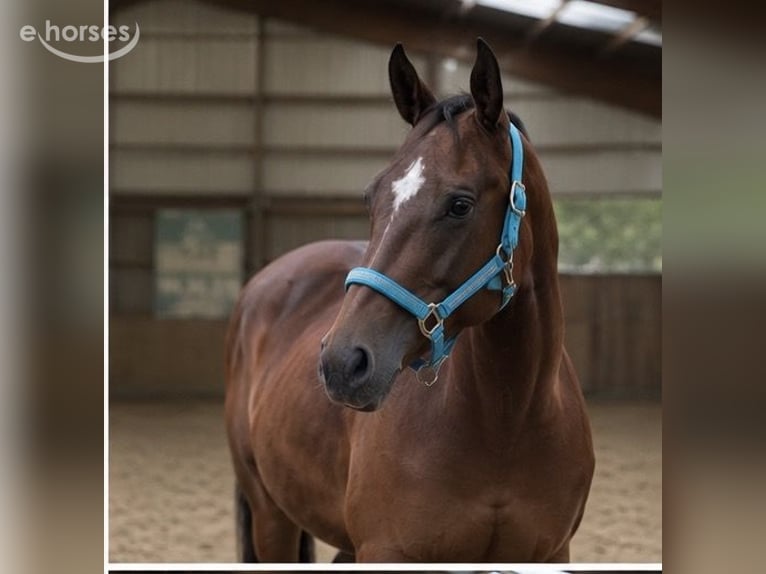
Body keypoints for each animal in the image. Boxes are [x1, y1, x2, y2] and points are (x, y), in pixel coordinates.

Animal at [225, 38, 594, 563]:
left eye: (459, 204)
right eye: (371, 197)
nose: (342, 363)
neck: (508, 420)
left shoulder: (551, 551)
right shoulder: (386, 550)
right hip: (270, 515)